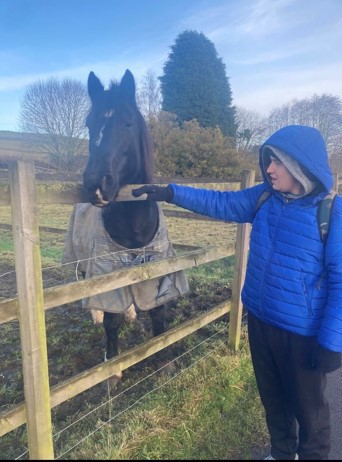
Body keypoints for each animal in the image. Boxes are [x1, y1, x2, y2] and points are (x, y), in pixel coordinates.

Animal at [63, 69, 187, 364]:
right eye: (89, 124)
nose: (95, 184)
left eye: (128, 123)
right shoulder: (106, 272)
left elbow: (157, 314)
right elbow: (111, 322)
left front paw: (162, 357)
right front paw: (113, 365)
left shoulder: (156, 272)